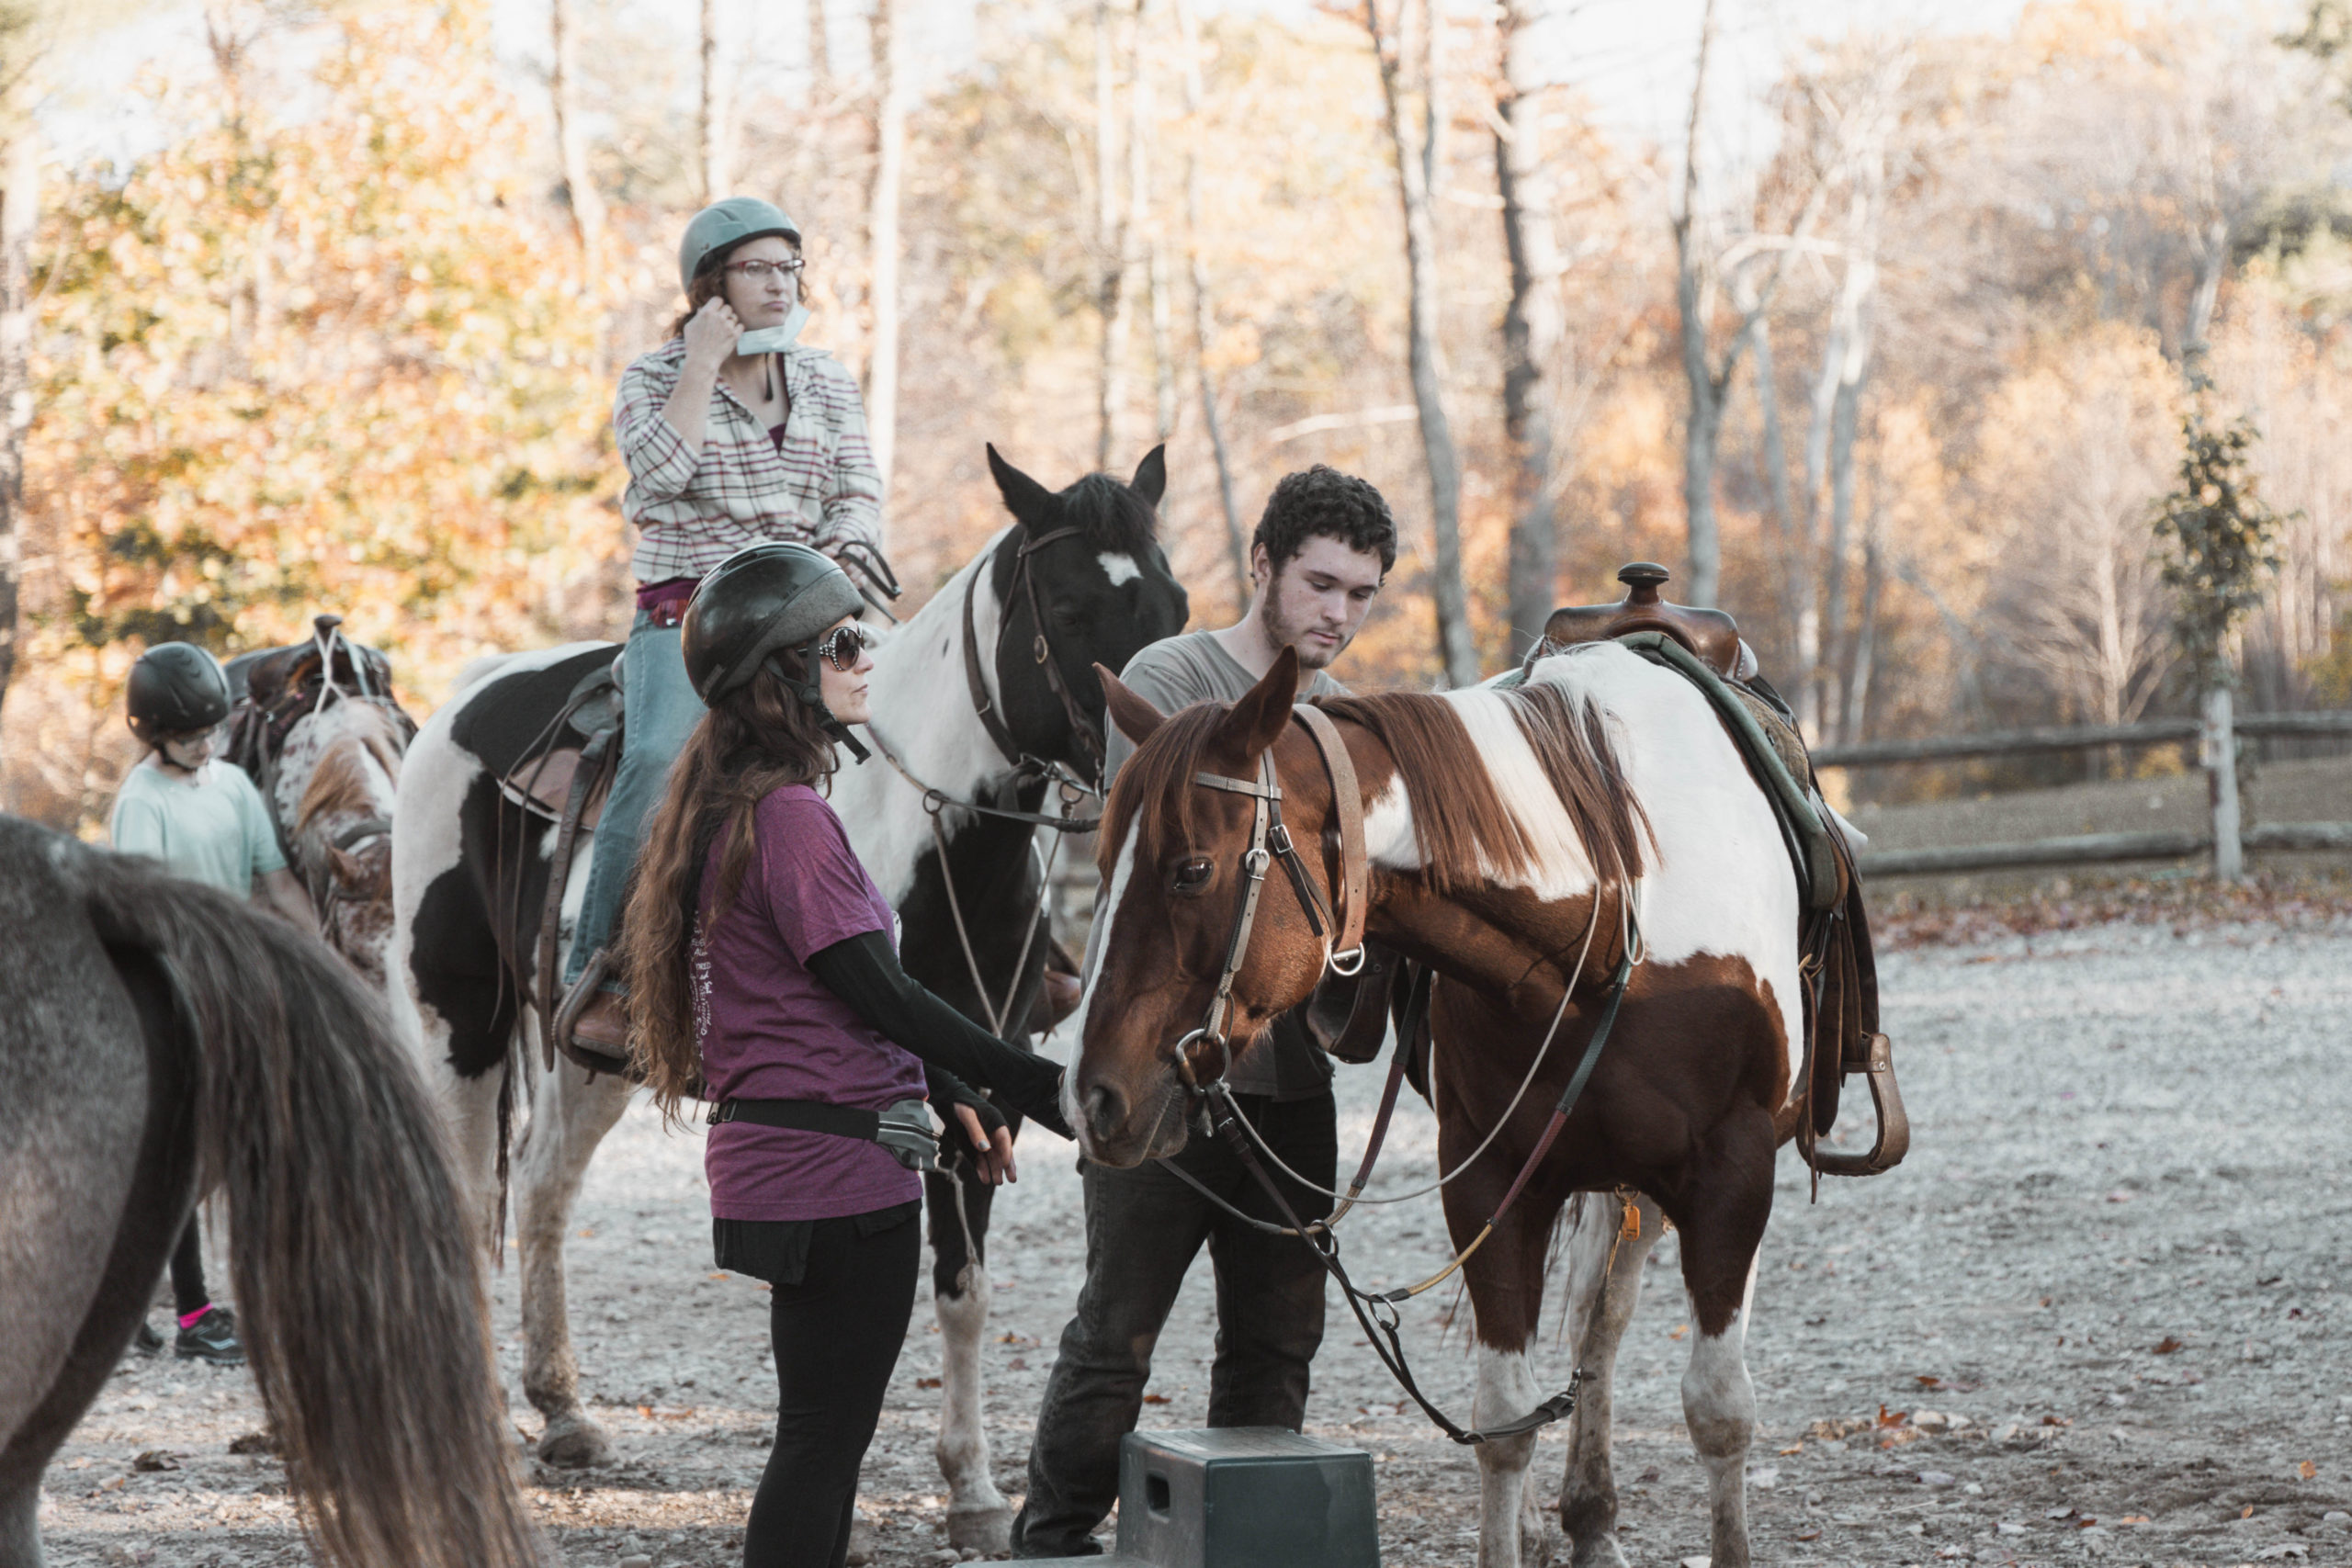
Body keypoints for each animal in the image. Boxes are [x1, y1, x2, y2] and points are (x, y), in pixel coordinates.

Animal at [1077, 639, 1796, 1568]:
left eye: (1191, 869)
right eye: (1101, 866)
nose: (1093, 1094)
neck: (1613, 916)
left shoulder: (1733, 1177)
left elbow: (1717, 1408)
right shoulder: (1491, 1181)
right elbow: (1506, 1419)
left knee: (1604, 1322)